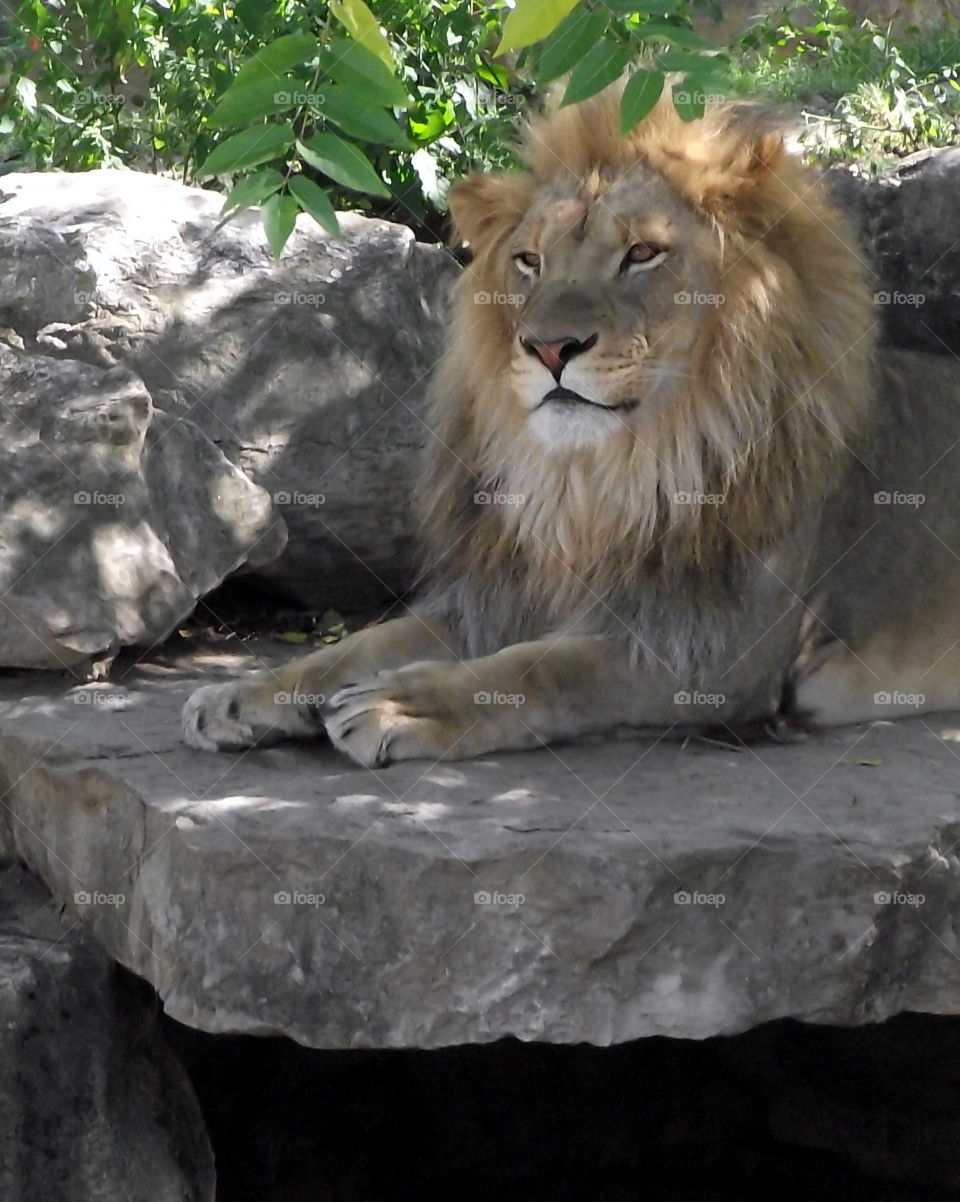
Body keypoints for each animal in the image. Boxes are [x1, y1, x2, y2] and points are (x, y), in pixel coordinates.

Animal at [182, 82, 960, 766]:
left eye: (642, 253)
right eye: (530, 261)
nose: (550, 348)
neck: (596, 479)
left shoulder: (715, 651)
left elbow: (541, 671)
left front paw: (401, 705)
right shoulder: (500, 596)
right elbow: (361, 645)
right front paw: (245, 693)